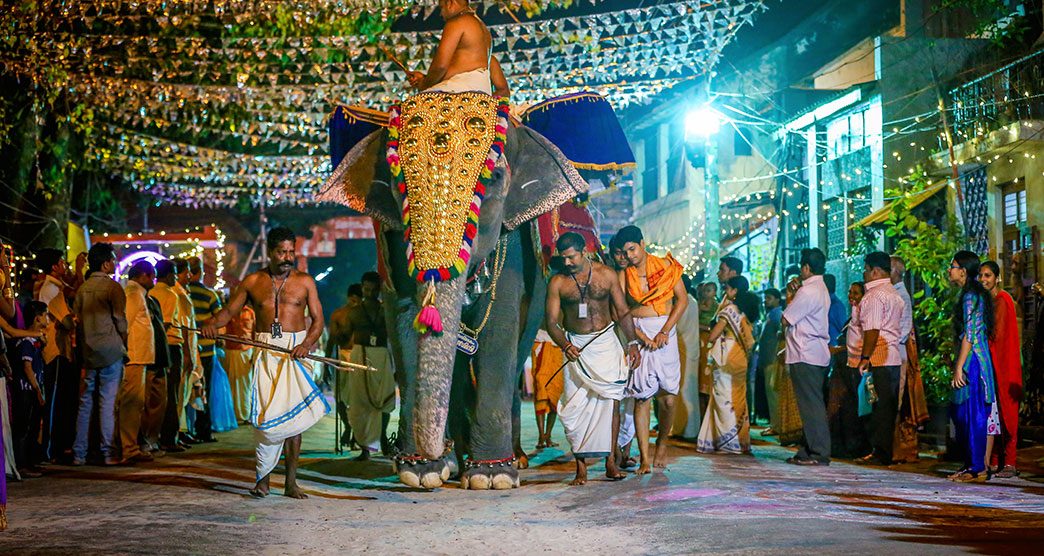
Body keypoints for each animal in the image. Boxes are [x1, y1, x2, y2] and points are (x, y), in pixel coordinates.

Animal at [319, 88, 626, 488]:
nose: (430, 452)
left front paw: (490, 476)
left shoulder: (515, 243)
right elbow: (404, 323)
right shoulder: (389, 244)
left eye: (493, 178)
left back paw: (513, 459)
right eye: (398, 182)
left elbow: (499, 327)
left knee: (517, 352)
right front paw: (423, 471)